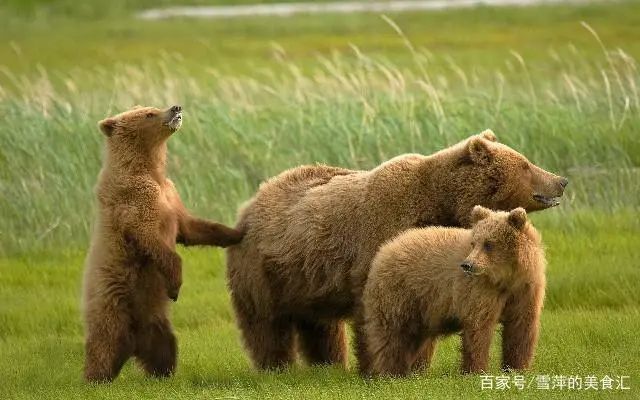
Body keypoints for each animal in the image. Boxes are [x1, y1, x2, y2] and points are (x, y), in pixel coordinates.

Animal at [225, 131, 564, 372]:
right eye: (525, 165)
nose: (561, 180)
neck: (439, 203)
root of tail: (250, 203)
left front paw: (418, 364)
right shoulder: (379, 239)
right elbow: (376, 309)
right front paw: (378, 367)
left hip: (307, 280)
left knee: (320, 325)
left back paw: (329, 363)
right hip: (264, 271)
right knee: (266, 322)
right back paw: (275, 366)